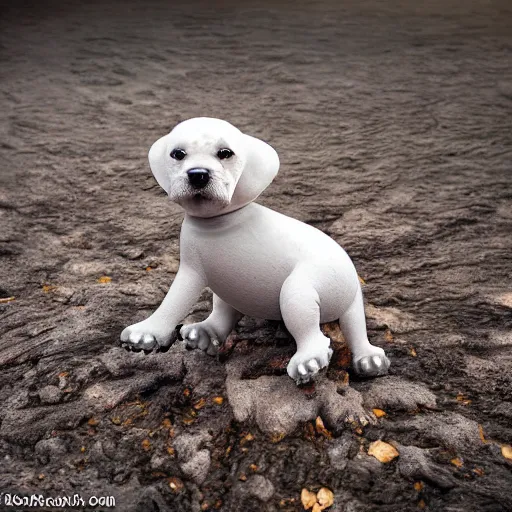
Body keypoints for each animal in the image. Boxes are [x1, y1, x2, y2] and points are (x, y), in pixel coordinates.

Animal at [120, 119, 390, 384]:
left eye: (225, 153)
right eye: (177, 154)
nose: (198, 174)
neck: (221, 222)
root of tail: (353, 279)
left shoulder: (189, 275)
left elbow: (174, 300)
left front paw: (146, 332)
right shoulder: (193, 265)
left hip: (313, 286)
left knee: (325, 323)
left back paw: (317, 359)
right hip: (234, 291)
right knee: (224, 312)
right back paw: (206, 332)